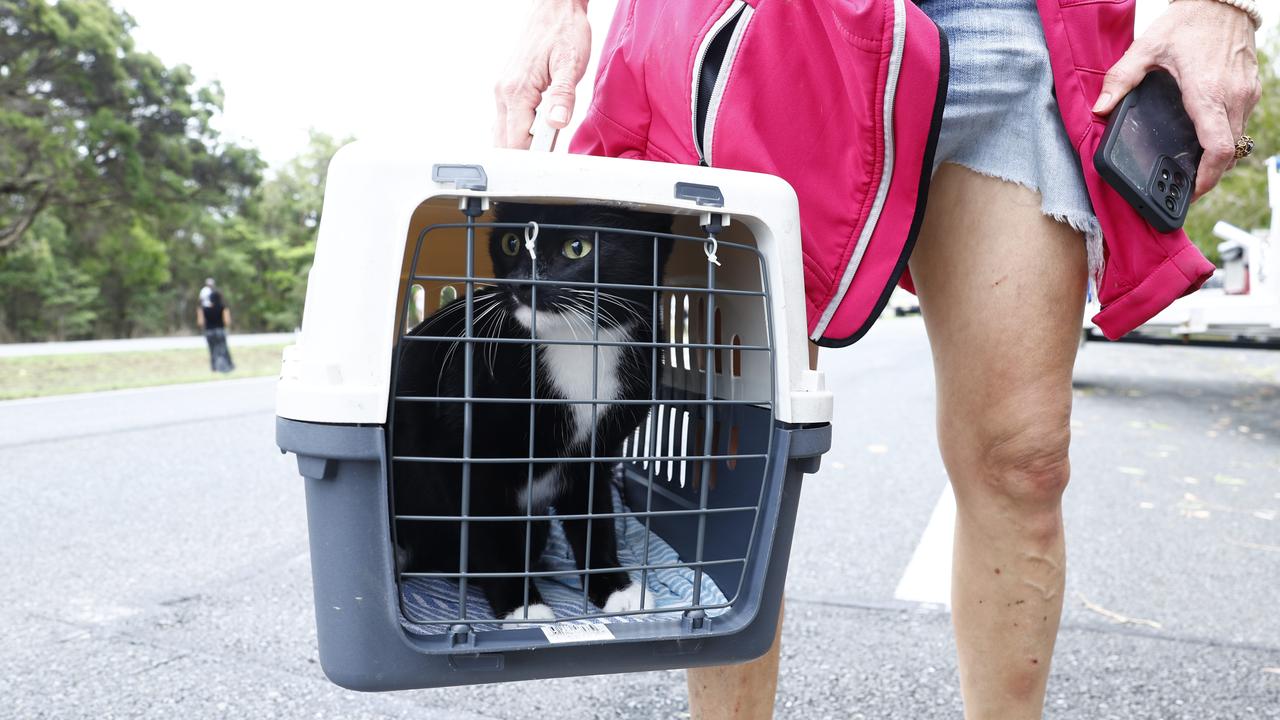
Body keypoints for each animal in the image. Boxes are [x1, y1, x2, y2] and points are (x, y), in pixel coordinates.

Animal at [391, 199, 675, 617]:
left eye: (577, 248)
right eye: (511, 242)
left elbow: (595, 517)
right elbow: (483, 526)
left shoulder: (598, 452)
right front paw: (522, 606)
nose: (523, 283)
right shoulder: (463, 454)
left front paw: (614, 586)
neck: (578, 342)